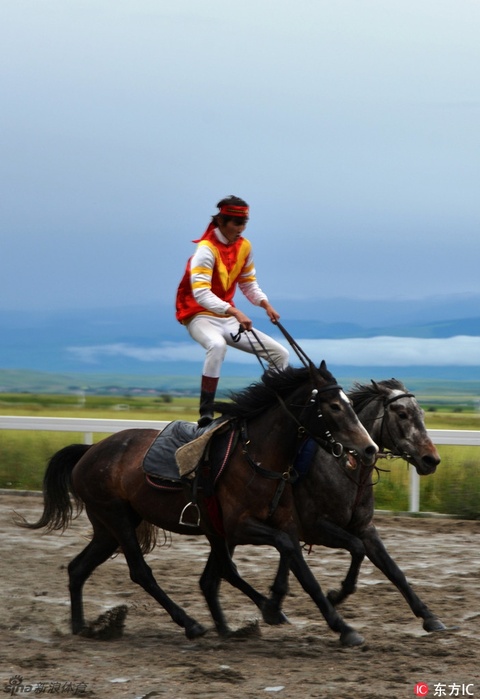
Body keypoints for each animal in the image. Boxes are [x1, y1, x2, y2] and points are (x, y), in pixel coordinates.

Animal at [16, 364, 378, 648]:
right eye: (334, 406)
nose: (369, 447)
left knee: (79, 567)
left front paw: (341, 625)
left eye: (349, 403)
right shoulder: (239, 527)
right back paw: (190, 623)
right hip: (116, 517)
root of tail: (88, 452)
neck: (259, 456)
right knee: (140, 572)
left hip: (109, 526)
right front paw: (277, 607)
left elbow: (305, 572)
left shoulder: (282, 522)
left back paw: (81, 626)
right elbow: (279, 555)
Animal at [262, 380, 446, 636]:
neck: (347, 468)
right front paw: (336, 595)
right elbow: (357, 549)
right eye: (402, 413)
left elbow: (394, 571)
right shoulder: (316, 527)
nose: (431, 460)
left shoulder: (365, 528)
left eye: (422, 414)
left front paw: (429, 616)